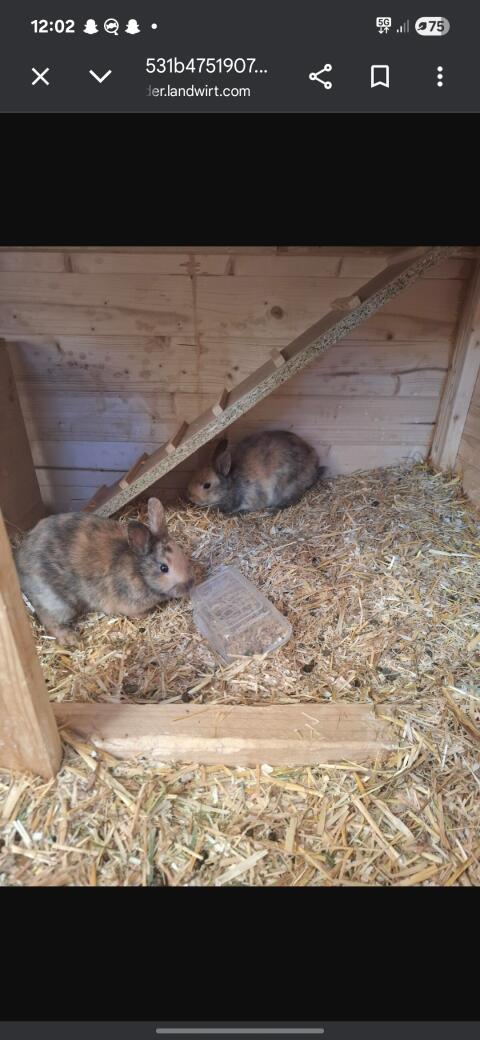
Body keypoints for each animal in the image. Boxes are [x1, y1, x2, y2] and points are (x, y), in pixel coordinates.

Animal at [14, 498, 194, 646]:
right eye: (164, 568)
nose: (189, 585)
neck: (139, 571)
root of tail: (19, 562)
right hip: (57, 602)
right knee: (48, 620)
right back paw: (71, 639)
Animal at [187, 430, 324, 514]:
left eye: (207, 485)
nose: (191, 497)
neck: (231, 485)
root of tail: (314, 464)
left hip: (285, 486)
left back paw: (272, 511)